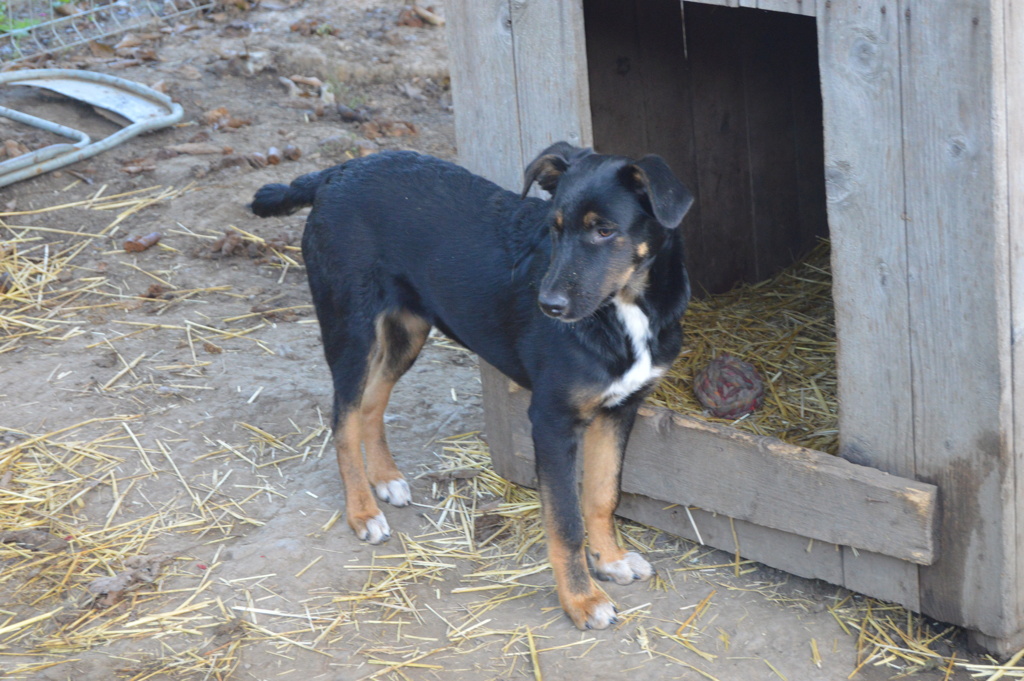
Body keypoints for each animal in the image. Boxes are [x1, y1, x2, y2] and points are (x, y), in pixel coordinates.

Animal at [250, 142, 692, 626]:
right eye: (553, 229)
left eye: (605, 231)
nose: (548, 306)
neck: (626, 309)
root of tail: (338, 171)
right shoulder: (551, 419)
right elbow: (565, 523)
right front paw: (581, 600)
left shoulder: (620, 411)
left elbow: (602, 495)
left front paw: (610, 560)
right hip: (351, 329)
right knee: (343, 419)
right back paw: (362, 511)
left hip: (407, 330)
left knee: (371, 404)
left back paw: (384, 478)